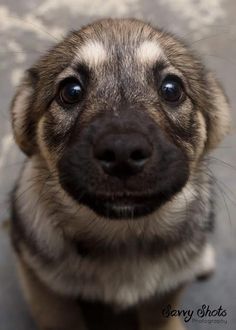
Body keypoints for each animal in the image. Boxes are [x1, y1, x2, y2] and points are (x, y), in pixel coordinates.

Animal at [10, 18, 230, 330]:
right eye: (71, 91)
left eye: (172, 89)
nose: (122, 152)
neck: (124, 234)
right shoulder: (42, 282)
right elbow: (60, 316)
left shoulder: (166, 291)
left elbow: (161, 315)